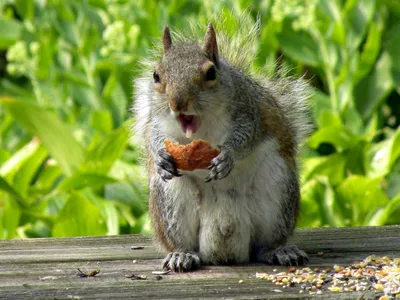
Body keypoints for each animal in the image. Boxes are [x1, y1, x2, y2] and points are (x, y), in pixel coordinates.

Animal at [134, 15, 312, 272]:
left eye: (211, 73)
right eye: (156, 75)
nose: (177, 103)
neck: (202, 124)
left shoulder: (248, 110)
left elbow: (247, 135)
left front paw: (226, 157)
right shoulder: (158, 121)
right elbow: (153, 136)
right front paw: (160, 158)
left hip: (277, 186)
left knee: (264, 244)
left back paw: (279, 251)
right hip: (170, 198)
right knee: (182, 241)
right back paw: (182, 254)